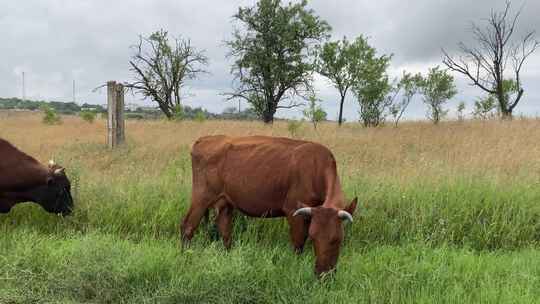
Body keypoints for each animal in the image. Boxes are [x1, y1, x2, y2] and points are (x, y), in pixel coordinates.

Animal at [182, 135, 358, 276]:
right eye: (314, 237)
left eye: (337, 239)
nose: (323, 274)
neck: (315, 167)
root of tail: (205, 139)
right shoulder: (293, 211)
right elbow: (298, 243)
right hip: (201, 197)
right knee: (188, 226)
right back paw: (185, 256)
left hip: (225, 202)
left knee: (225, 232)